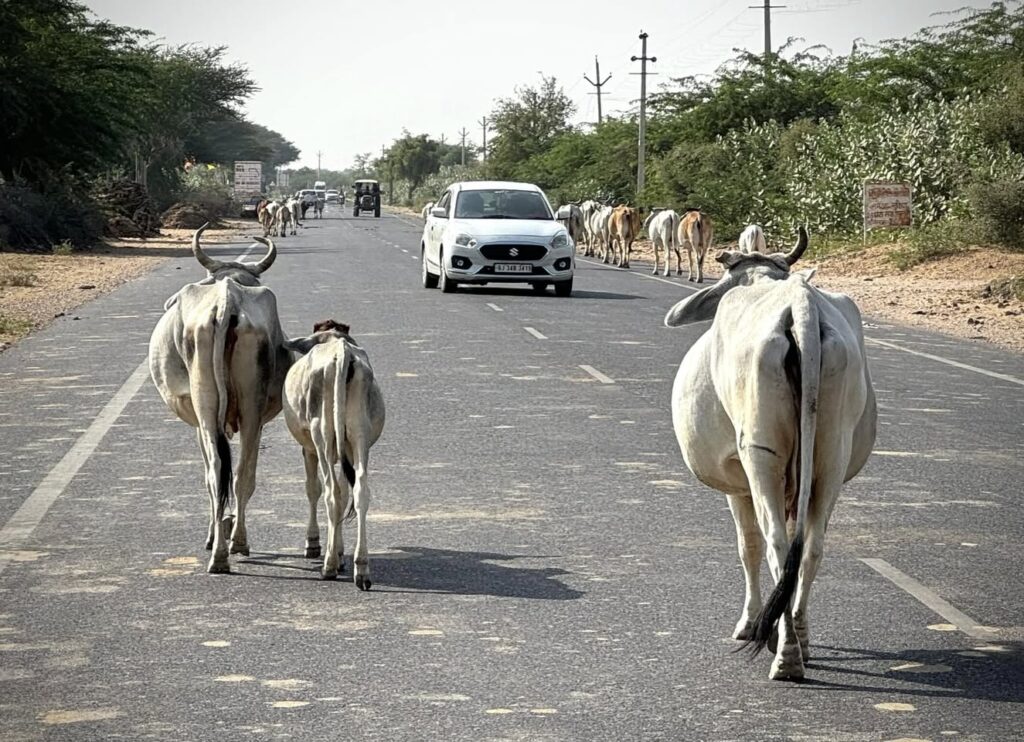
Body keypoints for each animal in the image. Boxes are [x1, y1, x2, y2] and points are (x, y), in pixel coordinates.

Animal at [149, 224, 293, 574]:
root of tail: (227, 303)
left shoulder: (198, 422)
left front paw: (215, 534)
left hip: (210, 406)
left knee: (222, 471)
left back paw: (226, 548)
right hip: (249, 407)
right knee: (238, 472)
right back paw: (229, 546)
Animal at [282, 320, 386, 588]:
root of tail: (342, 352)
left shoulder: (309, 448)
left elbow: (313, 489)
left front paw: (314, 544)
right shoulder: (347, 449)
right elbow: (345, 490)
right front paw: (339, 552)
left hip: (322, 438)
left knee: (331, 494)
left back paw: (329, 566)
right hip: (360, 436)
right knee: (359, 492)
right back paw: (361, 568)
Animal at [663, 227, 877, 681]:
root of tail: (800, 303)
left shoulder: (737, 484)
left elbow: (748, 547)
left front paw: (749, 623)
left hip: (761, 456)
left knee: (777, 542)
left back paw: (785, 654)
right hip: (829, 459)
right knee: (811, 546)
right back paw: (798, 638)